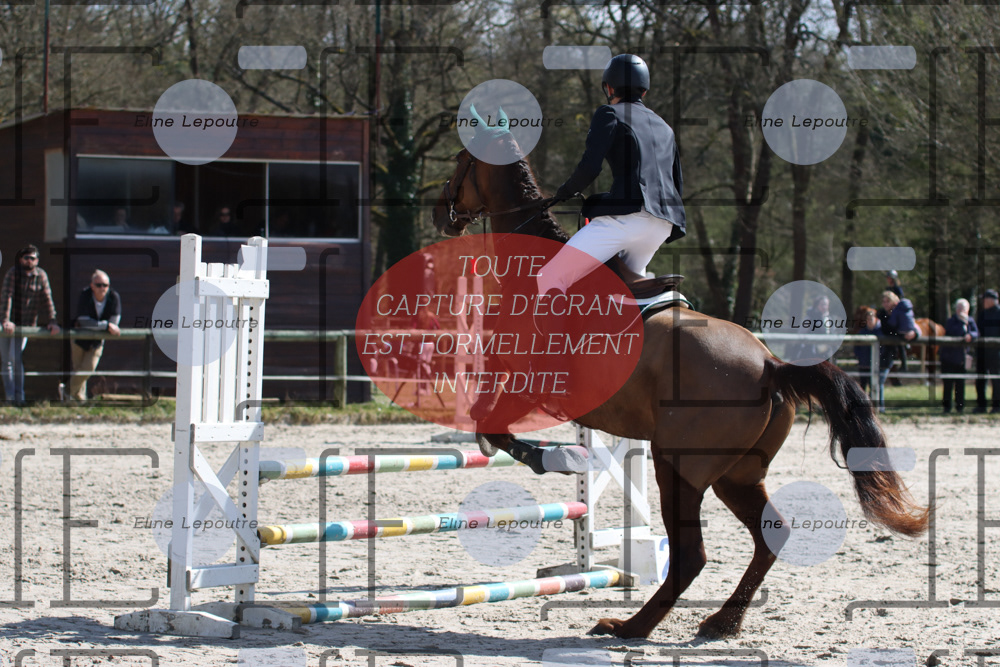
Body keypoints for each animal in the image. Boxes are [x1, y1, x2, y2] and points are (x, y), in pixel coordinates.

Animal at [430, 135, 928, 640]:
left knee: (691, 554)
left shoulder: (527, 379)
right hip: (736, 476)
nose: (439, 210)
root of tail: (770, 364)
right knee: (770, 535)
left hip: (679, 467)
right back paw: (722, 621)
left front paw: (552, 458)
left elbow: (492, 427)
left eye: (461, 161)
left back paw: (630, 626)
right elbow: (489, 422)